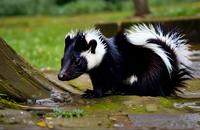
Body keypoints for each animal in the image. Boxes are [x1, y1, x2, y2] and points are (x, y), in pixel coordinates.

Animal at [57, 24, 192, 97]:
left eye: (77, 61)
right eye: (62, 60)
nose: (61, 75)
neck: (104, 51)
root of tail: (168, 82)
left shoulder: (112, 65)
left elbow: (108, 81)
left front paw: (94, 93)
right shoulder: (96, 71)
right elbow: (97, 81)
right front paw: (93, 91)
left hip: (152, 70)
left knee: (146, 84)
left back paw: (125, 91)